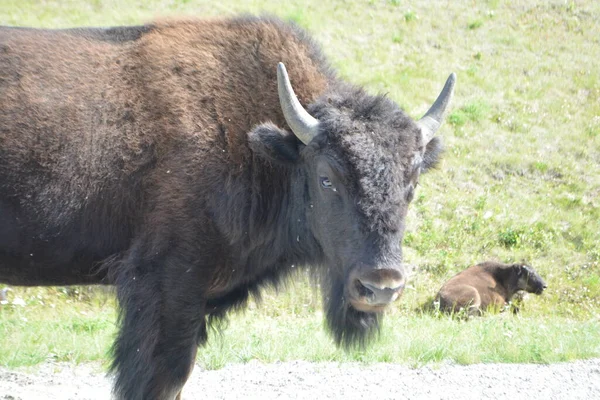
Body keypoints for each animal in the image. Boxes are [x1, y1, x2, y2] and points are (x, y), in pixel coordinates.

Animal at [0, 16, 454, 400]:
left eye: (412, 181)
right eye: (327, 178)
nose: (380, 286)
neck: (256, 142)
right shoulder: (168, 286)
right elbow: (160, 378)